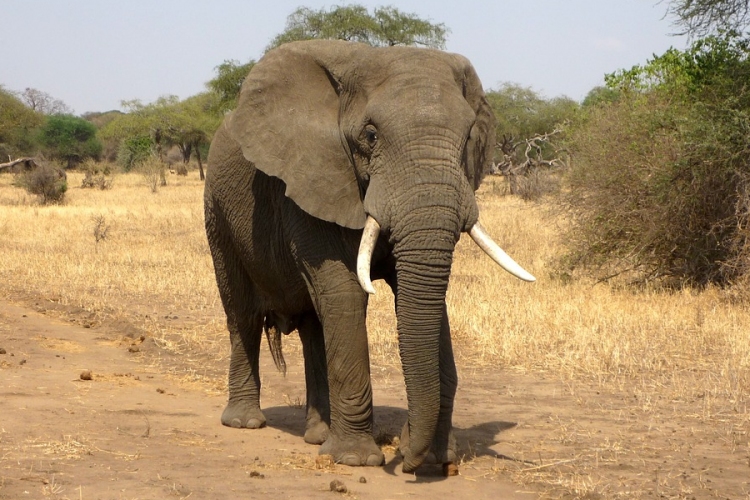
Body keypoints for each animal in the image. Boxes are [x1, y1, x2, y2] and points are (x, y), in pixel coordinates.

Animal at [203, 40, 536, 472]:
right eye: (371, 135)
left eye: (467, 139)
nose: (407, 458)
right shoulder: (313, 179)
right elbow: (346, 293)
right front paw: (355, 460)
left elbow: (421, 298)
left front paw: (436, 458)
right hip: (217, 210)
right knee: (242, 312)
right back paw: (245, 422)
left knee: (314, 323)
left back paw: (318, 435)